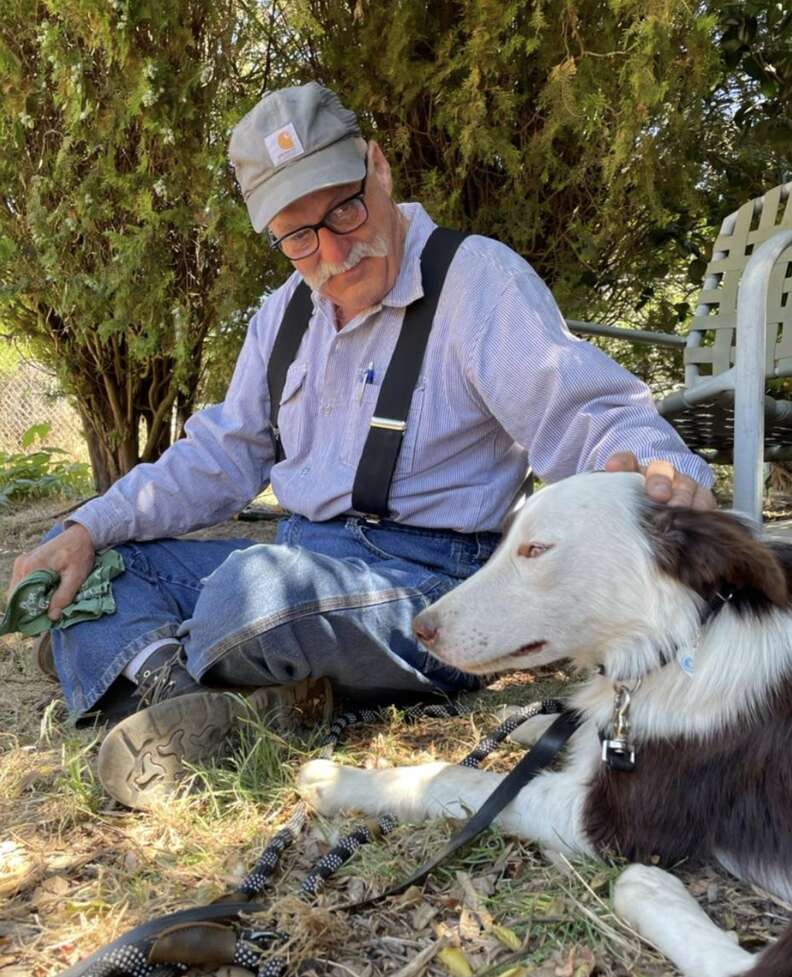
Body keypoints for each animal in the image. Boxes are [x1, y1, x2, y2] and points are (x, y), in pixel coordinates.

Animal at [296, 468, 792, 972]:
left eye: (536, 550)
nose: (420, 629)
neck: (676, 644)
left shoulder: (616, 823)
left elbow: (451, 778)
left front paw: (339, 780)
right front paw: (526, 720)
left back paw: (651, 887)